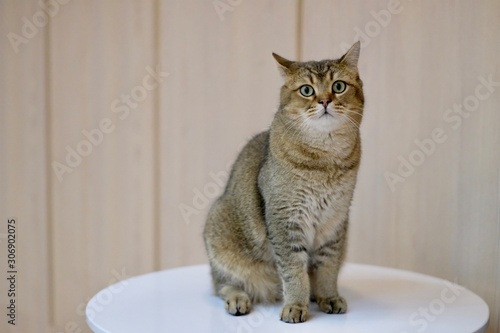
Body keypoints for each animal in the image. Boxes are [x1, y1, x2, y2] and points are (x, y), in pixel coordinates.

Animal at [202, 40, 364, 322]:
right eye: (307, 90)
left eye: (338, 86)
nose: (325, 101)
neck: (325, 161)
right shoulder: (285, 219)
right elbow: (294, 270)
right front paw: (296, 305)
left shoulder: (335, 222)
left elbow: (328, 267)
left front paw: (328, 296)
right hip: (219, 231)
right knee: (223, 283)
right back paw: (238, 299)